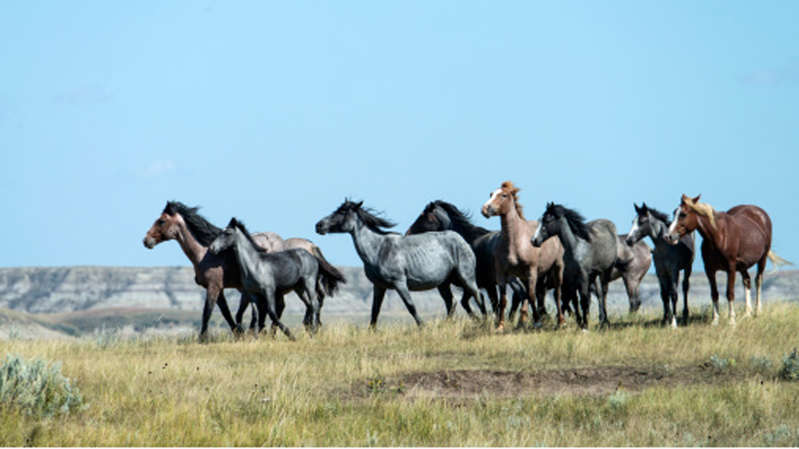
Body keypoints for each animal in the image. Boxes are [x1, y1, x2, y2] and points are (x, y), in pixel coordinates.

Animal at [144, 200, 344, 340]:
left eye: (161, 221)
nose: (146, 241)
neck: (204, 254)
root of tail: (311, 246)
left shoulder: (214, 287)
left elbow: (207, 312)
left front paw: (204, 338)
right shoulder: (224, 289)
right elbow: (228, 313)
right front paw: (240, 332)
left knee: (308, 304)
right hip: (294, 287)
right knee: (305, 305)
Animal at [316, 200, 484, 326]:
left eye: (342, 212)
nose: (318, 225)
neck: (378, 249)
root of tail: (462, 240)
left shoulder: (400, 283)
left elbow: (411, 307)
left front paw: (422, 327)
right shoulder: (379, 286)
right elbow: (374, 311)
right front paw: (372, 331)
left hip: (466, 278)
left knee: (478, 296)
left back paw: (485, 321)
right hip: (443, 283)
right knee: (451, 303)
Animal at [478, 179, 564, 328]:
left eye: (504, 195)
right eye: (491, 194)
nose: (485, 209)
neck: (515, 242)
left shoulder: (531, 271)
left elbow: (532, 296)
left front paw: (537, 322)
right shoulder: (502, 274)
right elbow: (504, 301)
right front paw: (500, 326)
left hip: (557, 267)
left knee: (557, 293)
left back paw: (560, 321)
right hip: (527, 277)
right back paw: (522, 322)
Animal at [664, 194, 792, 324]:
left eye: (683, 214)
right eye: (674, 212)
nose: (668, 236)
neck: (719, 236)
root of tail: (760, 213)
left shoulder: (731, 268)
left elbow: (729, 293)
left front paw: (731, 320)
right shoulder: (709, 269)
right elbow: (714, 293)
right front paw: (715, 320)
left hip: (762, 259)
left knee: (758, 280)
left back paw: (757, 311)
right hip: (742, 266)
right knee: (747, 280)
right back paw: (747, 313)